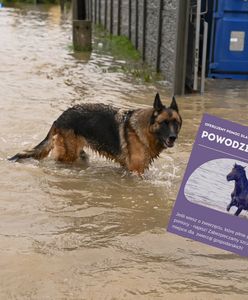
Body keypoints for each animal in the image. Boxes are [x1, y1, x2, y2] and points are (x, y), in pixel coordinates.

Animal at [8, 93, 182, 173]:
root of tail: (60, 117)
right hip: (68, 154)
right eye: (164, 123)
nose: (173, 138)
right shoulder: (135, 170)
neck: (146, 129)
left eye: (176, 123)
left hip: (80, 153)